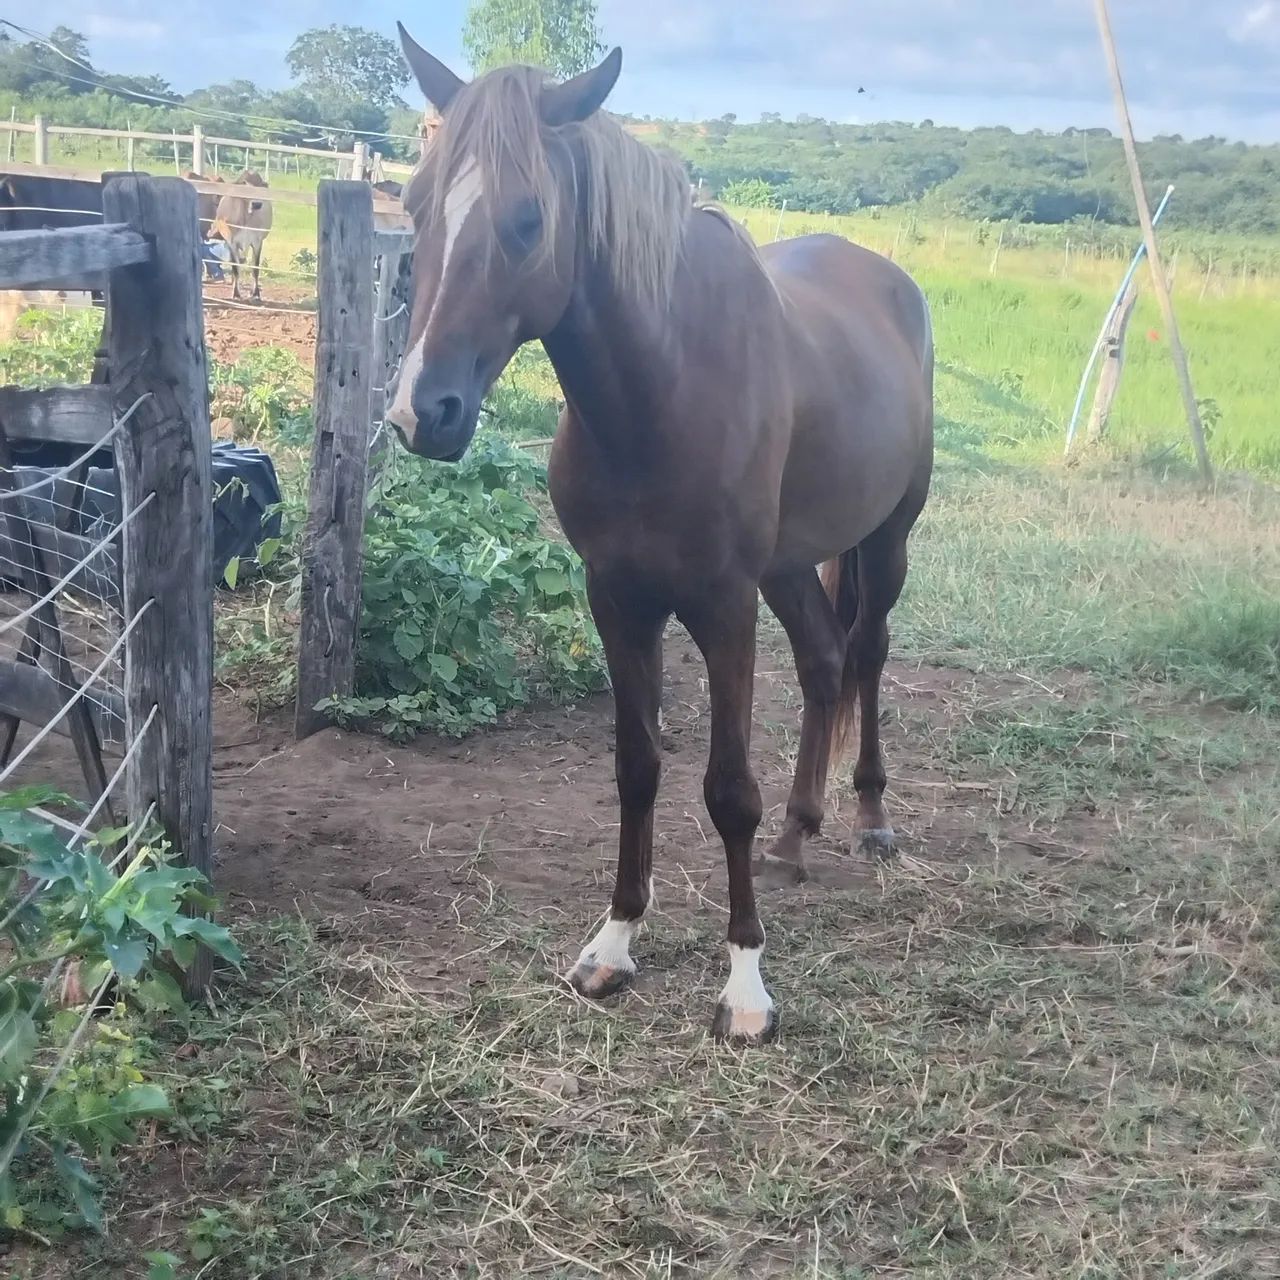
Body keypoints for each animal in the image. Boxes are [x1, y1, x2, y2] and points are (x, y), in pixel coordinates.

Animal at [387, 27, 935, 1044]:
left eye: (529, 219)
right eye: (413, 202)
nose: (420, 414)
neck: (662, 392)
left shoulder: (720, 605)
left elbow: (727, 791)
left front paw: (746, 984)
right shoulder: (618, 596)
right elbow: (637, 766)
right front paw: (613, 943)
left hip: (887, 541)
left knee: (868, 655)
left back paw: (869, 818)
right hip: (790, 565)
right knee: (823, 662)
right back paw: (798, 835)